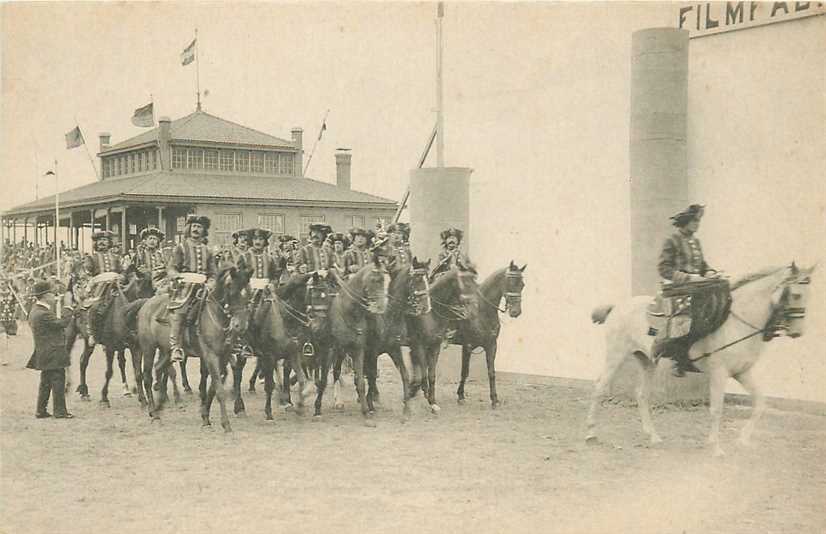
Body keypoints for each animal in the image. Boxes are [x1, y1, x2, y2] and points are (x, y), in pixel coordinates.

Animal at [135, 262, 253, 434]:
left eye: (249, 292)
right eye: (231, 289)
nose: (240, 326)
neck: (216, 316)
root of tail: (146, 305)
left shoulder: (223, 357)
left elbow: (213, 387)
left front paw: (205, 417)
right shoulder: (210, 356)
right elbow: (219, 389)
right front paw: (226, 424)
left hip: (166, 351)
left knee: (159, 368)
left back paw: (159, 406)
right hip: (148, 348)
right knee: (147, 377)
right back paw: (155, 415)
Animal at [454, 262, 524, 408]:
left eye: (522, 285)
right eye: (510, 282)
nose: (516, 312)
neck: (481, 309)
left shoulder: (491, 345)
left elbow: (491, 372)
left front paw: (494, 399)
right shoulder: (467, 345)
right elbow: (465, 371)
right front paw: (461, 396)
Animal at [588, 262, 816, 456]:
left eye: (808, 296)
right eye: (796, 295)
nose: (798, 332)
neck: (736, 321)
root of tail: (617, 306)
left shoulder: (742, 372)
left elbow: (760, 403)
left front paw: (743, 440)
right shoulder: (719, 373)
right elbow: (716, 409)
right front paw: (715, 447)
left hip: (647, 361)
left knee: (642, 395)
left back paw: (653, 436)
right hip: (616, 356)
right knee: (600, 387)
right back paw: (591, 433)